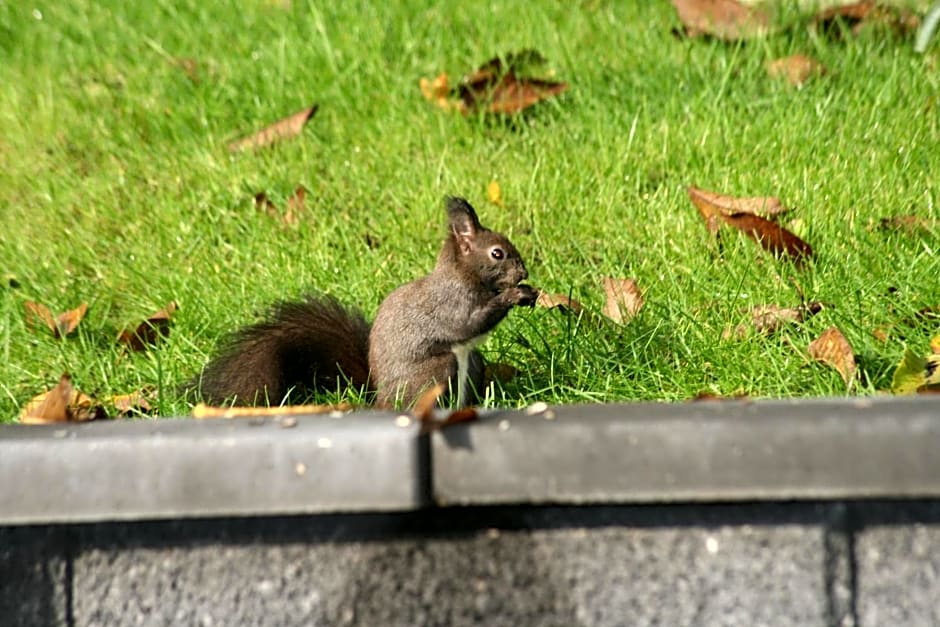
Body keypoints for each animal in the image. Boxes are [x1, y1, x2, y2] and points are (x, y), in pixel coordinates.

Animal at [195, 197, 536, 412]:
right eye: (497, 253)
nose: (524, 273)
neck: (464, 276)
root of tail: (381, 401)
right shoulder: (450, 304)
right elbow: (470, 323)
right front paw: (514, 295)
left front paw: (528, 291)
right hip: (436, 370)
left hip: (472, 363)